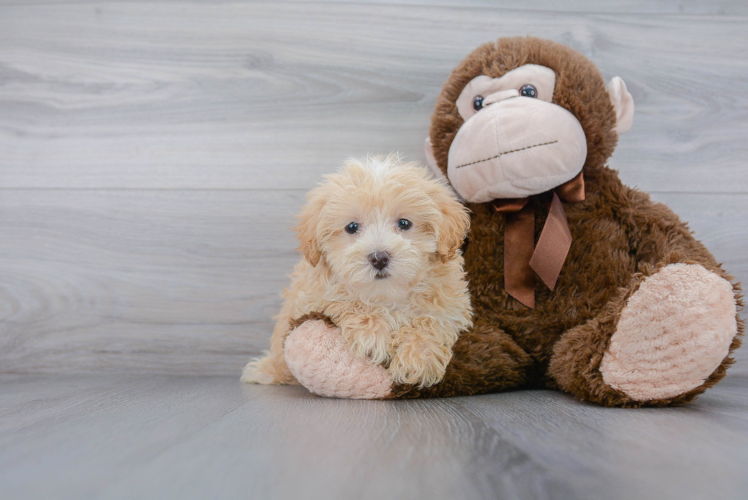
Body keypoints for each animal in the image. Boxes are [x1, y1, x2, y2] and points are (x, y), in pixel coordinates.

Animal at [243, 154, 470, 388]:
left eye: (404, 223)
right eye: (352, 227)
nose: (379, 258)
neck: (387, 296)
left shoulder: (450, 304)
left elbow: (432, 321)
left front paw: (418, 359)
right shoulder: (314, 296)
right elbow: (348, 302)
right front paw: (374, 335)